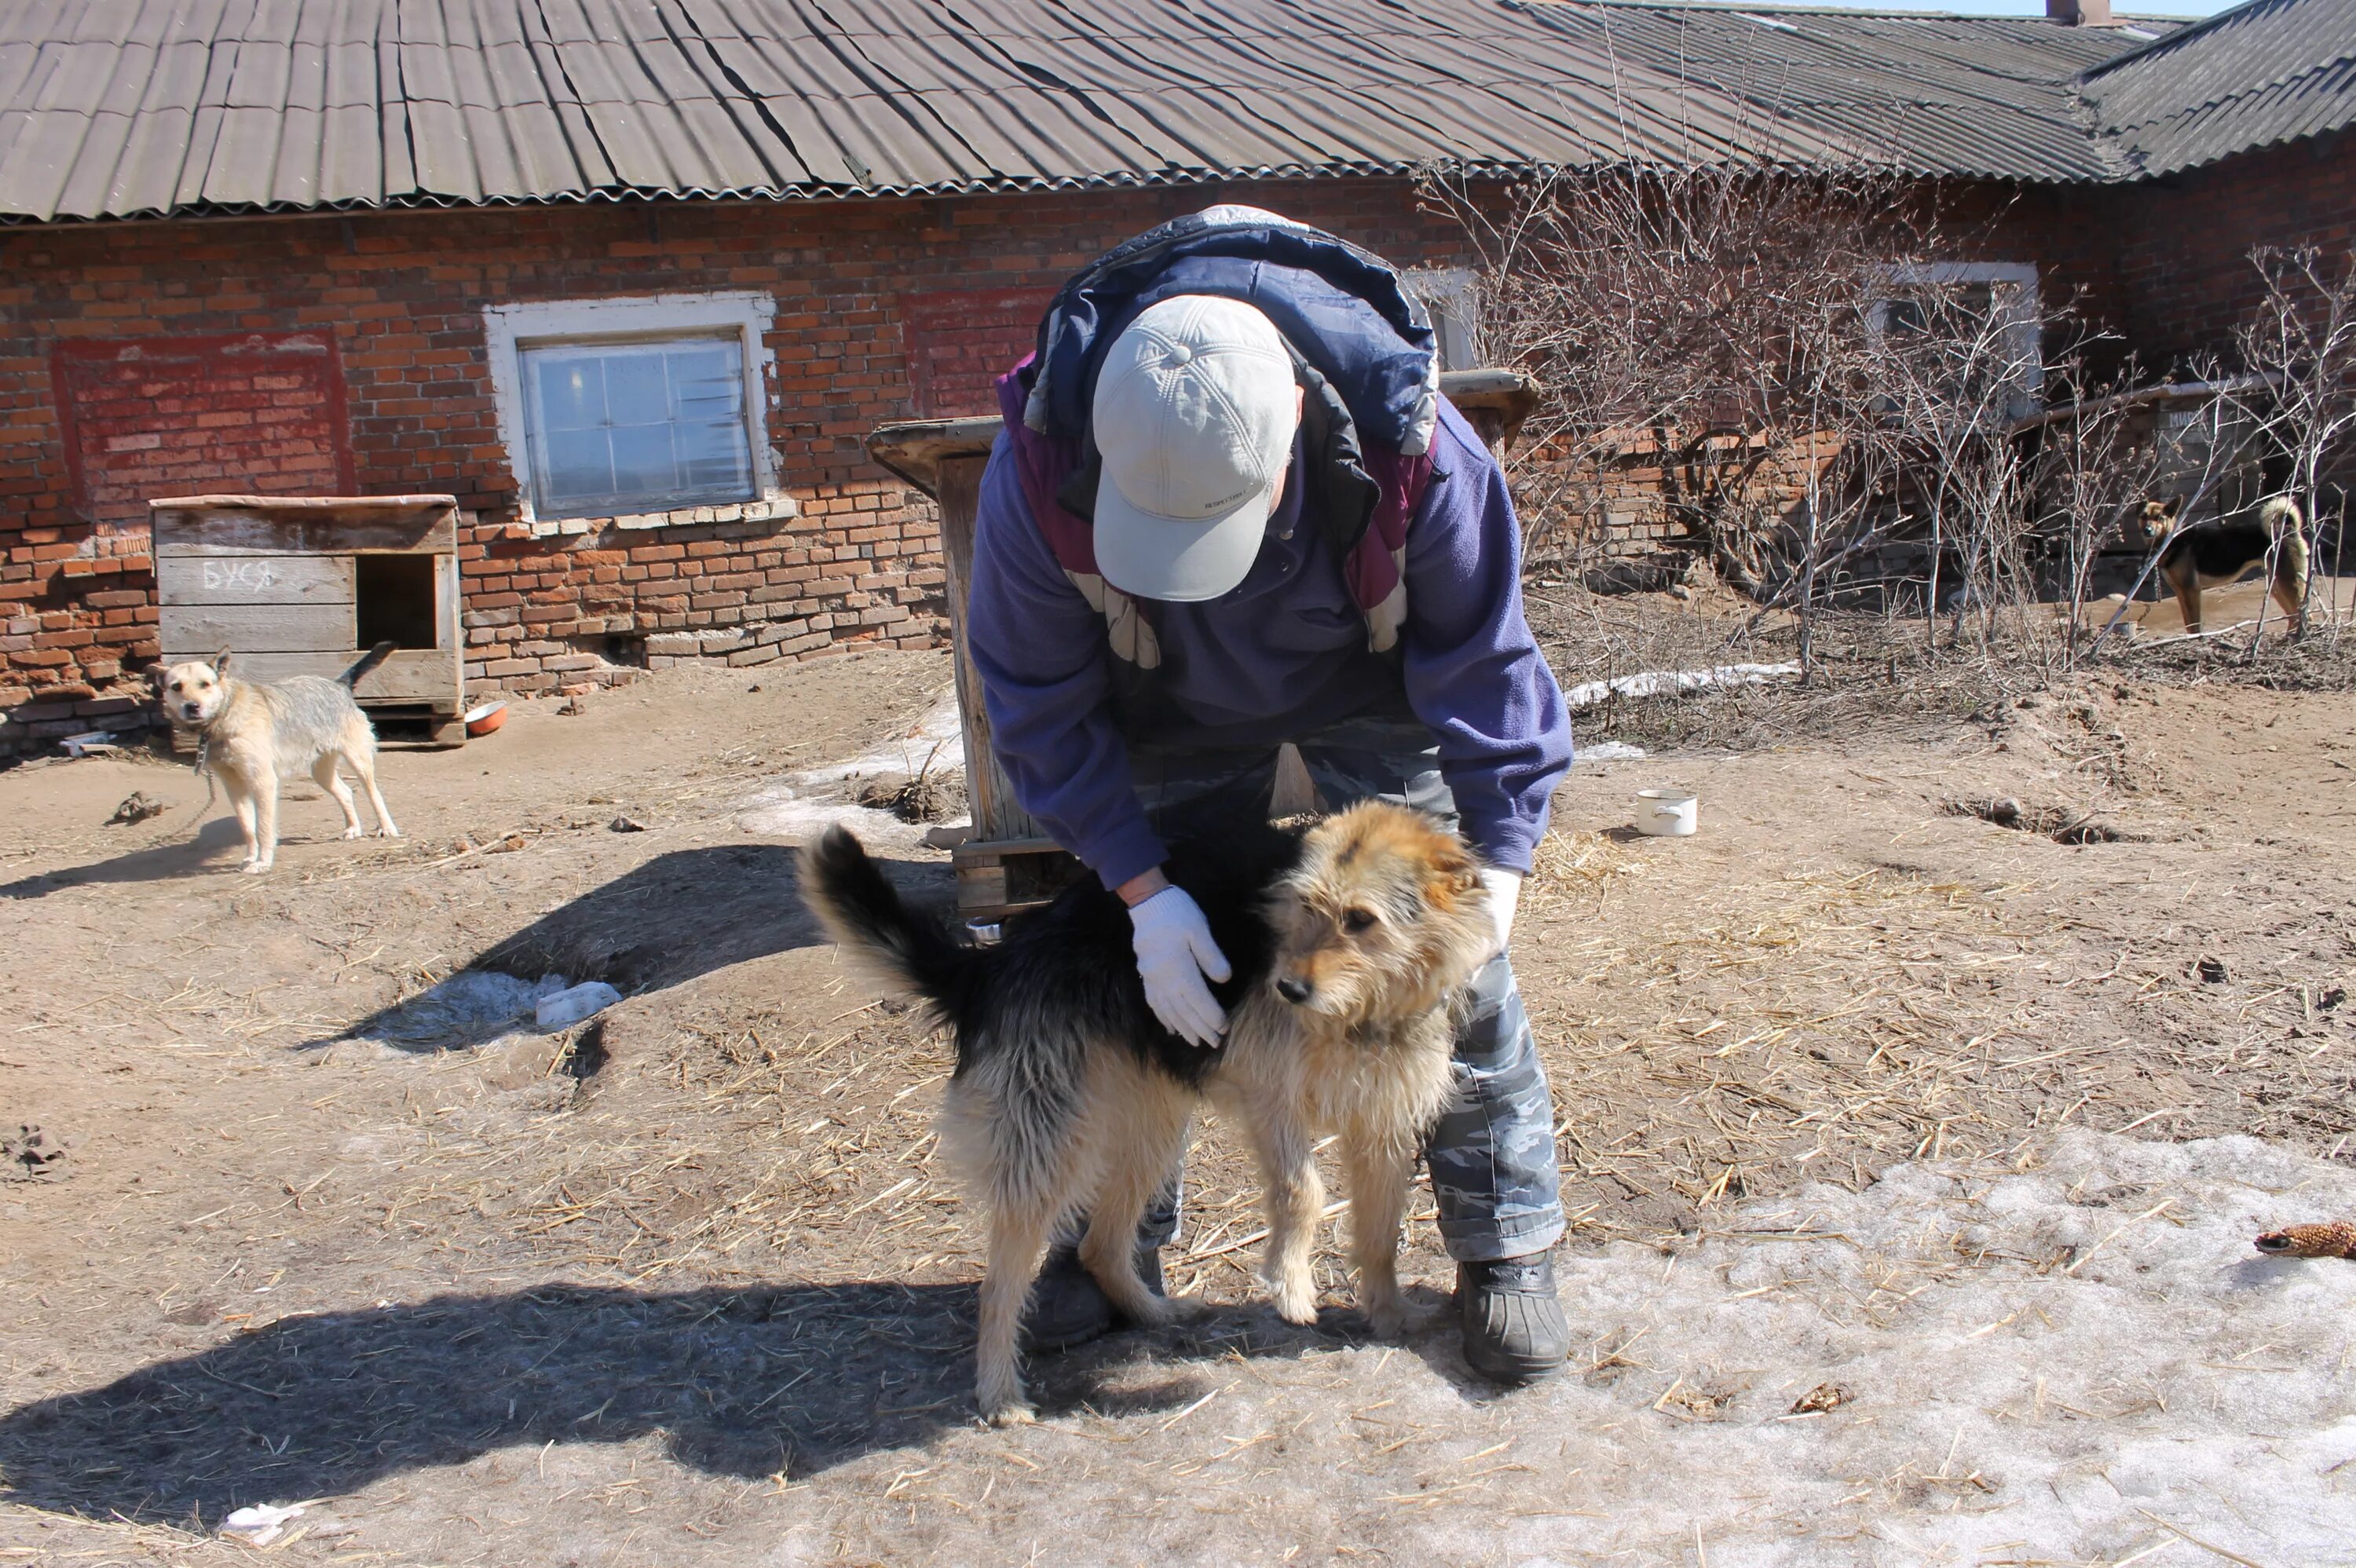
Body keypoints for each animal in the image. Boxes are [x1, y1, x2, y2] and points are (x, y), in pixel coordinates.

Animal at [154, 640, 401, 871]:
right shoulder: (233, 786)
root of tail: (339, 685)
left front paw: (263, 862)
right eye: (176, 687)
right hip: (321, 771)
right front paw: (250, 858)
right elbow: (248, 827)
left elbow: (263, 827)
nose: (192, 707)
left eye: (205, 684)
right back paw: (353, 828)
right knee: (346, 792)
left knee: (374, 793)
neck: (226, 715)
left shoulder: (263, 781)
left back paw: (387, 827)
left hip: (358, 760)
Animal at [796, 800, 1489, 1422]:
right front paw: (1291, 1285)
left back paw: (1154, 1311)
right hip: (1050, 1149)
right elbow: (1305, 1193)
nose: (1287, 988)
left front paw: (1389, 1312)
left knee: (1101, 1244)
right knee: (1000, 1287)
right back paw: (1000, 1394)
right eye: (1306, 907)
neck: (1366, 1008)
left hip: (1150, 1130)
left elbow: (1380, 1230)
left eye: (1361, 919)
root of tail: (992, 965)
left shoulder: (1384, 1126)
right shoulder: (1274, 1103)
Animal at [2149, 492, 2309, 630]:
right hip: (2276, 586)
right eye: (2144, 516)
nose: (2147, 530)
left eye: (2160, 518)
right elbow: (2189, 625)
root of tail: (2289, 530)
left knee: (2303, 616)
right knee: (2293, 617)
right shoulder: (2180, 592)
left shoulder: (2191, 591)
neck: (2175, 538)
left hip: (2289, 584)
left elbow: (2195, 626)